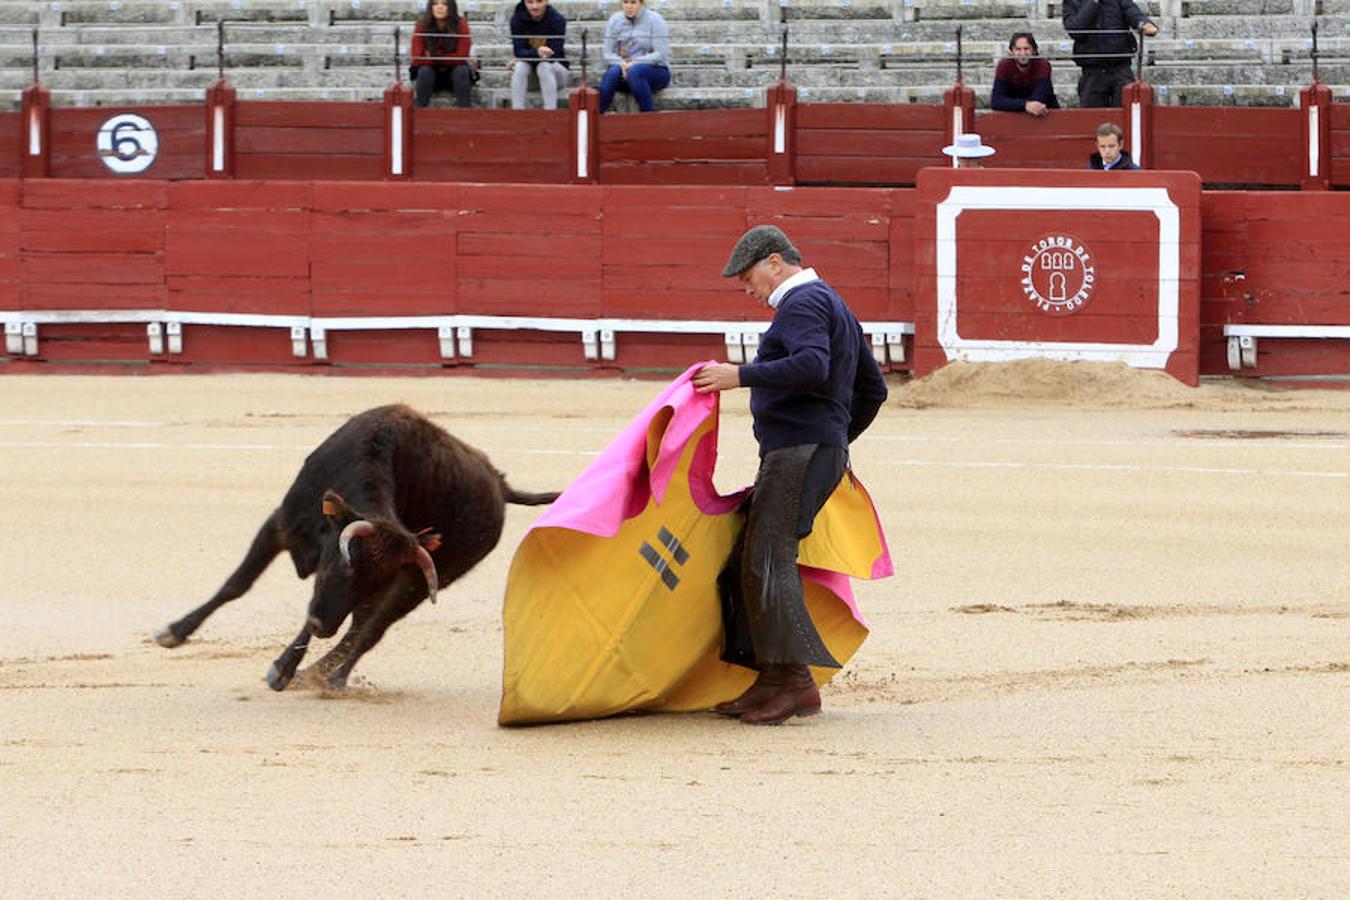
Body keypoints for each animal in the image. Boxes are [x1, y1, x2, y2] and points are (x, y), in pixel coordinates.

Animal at [155, 404, 556, 696]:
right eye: (343, 567)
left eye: (369, 579)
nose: (323, 627)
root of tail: (500, 485)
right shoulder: (280, 526)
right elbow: (237, 584)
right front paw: (174, 632)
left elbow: (329, 619)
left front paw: (282, 670)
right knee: (356, 625)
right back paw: (314, 672)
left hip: (425, 580)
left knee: (370, 629)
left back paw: (330, 678)